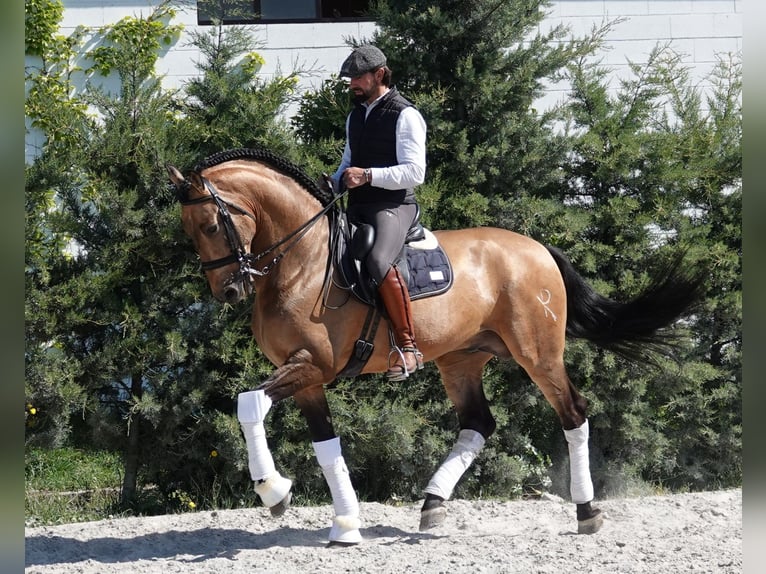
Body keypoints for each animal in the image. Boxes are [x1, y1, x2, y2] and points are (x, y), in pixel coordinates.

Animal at [167, 147, 702, 545]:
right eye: (189, 231)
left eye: (211, 226)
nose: (228, 290)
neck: (301, 262)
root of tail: (536, 248)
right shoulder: (306, 378)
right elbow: (324, 445)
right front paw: (344, 524)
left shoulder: (310, 366)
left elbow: (248, 404)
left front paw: (272, 490)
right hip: (461, 359)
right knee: (478, 423)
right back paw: (432, 504)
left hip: (538, 354)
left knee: (573, 412)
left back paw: (587, 511)